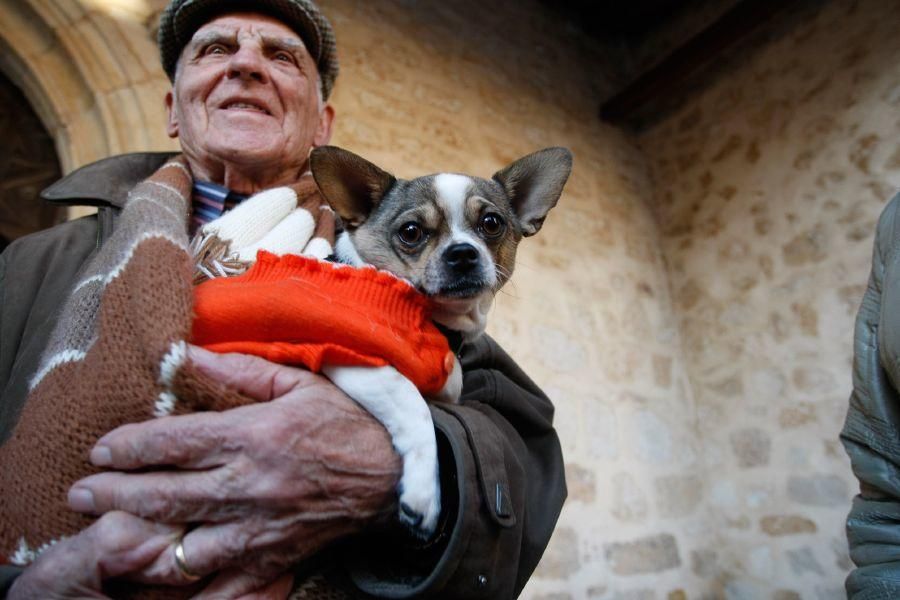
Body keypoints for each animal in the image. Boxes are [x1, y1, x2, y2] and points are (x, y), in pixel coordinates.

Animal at [308, 146, 568, 540]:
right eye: (411, 232)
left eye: (492, 223)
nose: (462, 252)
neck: (437, 323)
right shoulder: (357, 359)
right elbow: (413, 405)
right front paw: (424, 495)